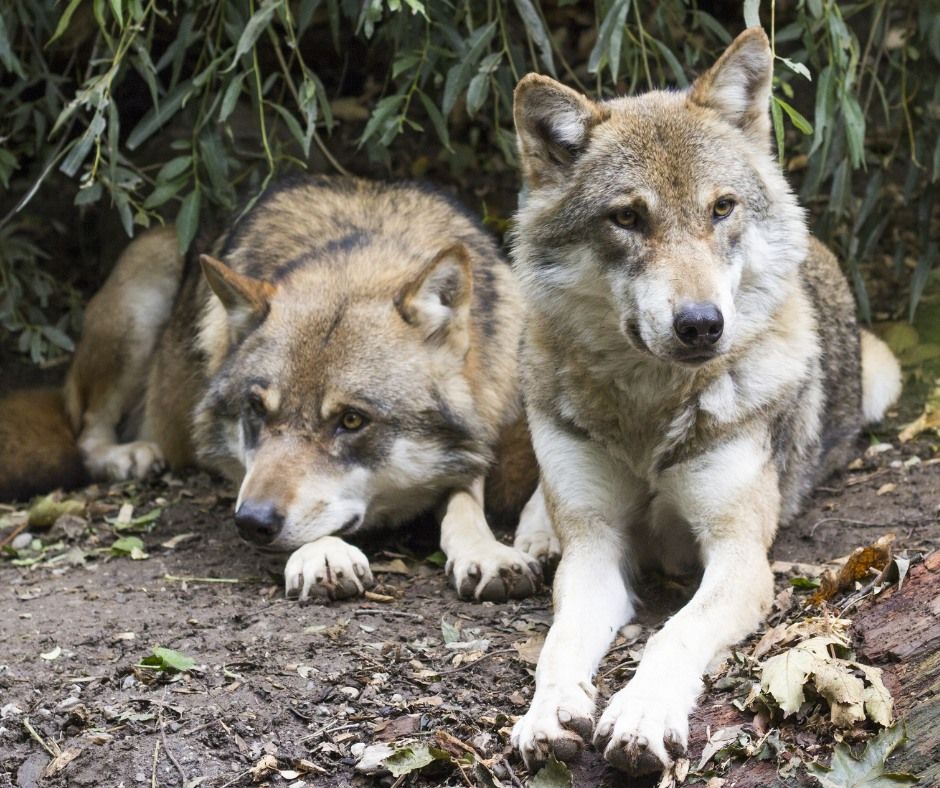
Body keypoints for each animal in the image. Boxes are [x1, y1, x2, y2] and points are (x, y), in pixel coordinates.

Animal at [1, 174, 552, 604]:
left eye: (351, 420)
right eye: (256, 411)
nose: (251, 522)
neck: (361, 251)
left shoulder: (489, 432)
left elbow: (469, 497)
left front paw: (488, 551)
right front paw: (322, 555)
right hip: (145, 282)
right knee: (85, 431)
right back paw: (128, 455)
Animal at [506, 26, 904, 776]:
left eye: (721, 207)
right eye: (627, 217)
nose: (700, 325)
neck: (647, 411)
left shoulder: (739, 554)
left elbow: (675, 634)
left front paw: (641, 714)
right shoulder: (596, 549)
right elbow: (559, 643)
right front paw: (547, 714)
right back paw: (532, 537)